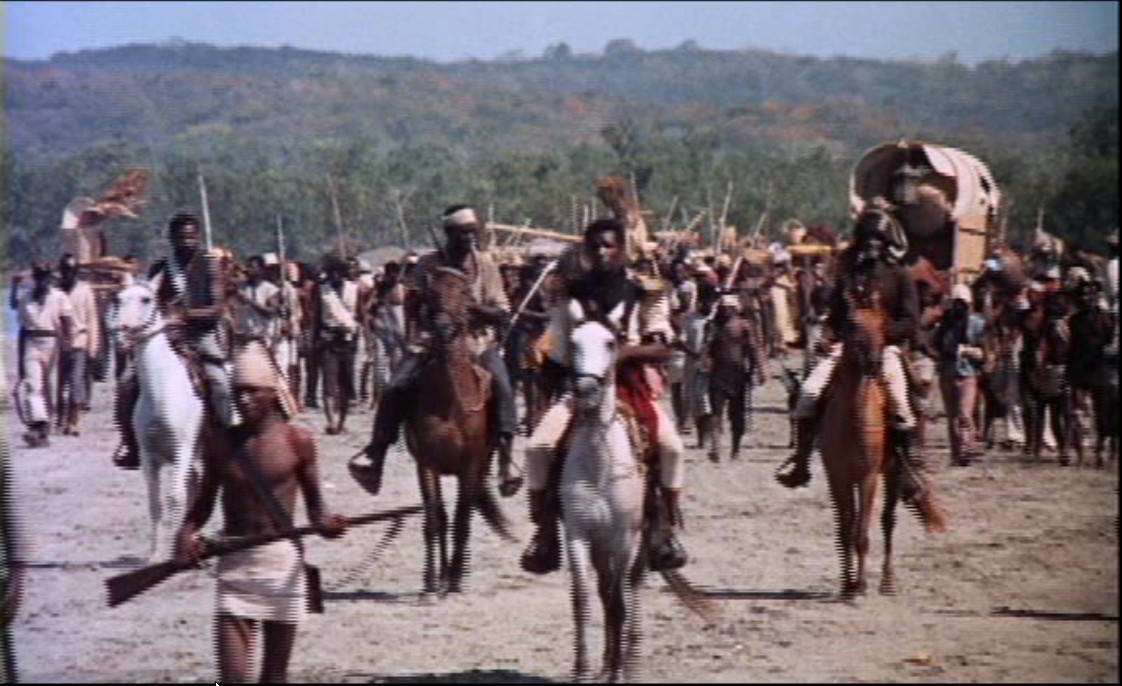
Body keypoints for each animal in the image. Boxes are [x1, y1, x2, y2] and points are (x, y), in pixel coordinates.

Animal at [107, 282, 206, 562]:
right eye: (118, 298)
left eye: (146, 299)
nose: (120, 332)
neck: (162, 391)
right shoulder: (148, 456)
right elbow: (155, 502)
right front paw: (154, 555)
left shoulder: (182, 450)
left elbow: (174, 497)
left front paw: (172, 553)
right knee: (193, 484)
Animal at [818, 282, 947, 598]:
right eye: (852, 325)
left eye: (882, 324)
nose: (874, 363)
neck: (852, 420)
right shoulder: (836, 476)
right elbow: (845, 528)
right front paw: (847, 584)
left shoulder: (867, 477)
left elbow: (863, 531)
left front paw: (861, 586)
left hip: (892, 470)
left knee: (888, 520)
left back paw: (887, 581)